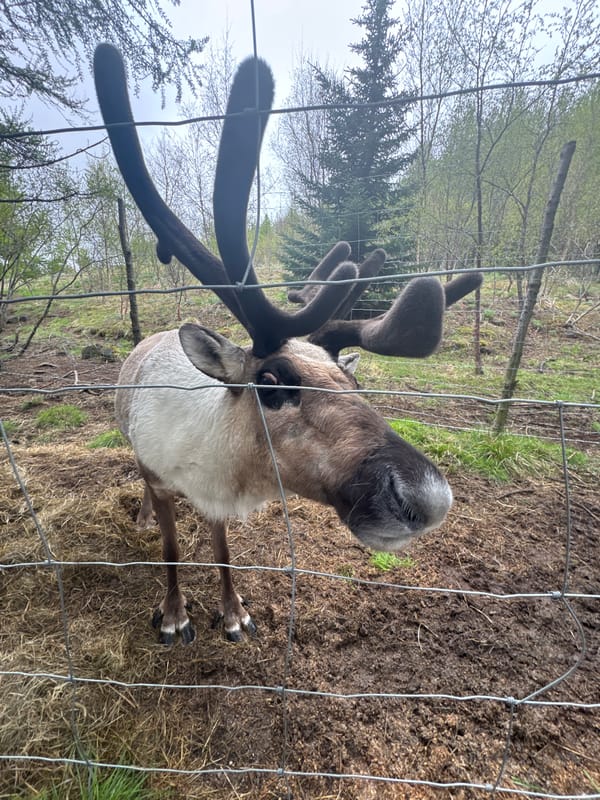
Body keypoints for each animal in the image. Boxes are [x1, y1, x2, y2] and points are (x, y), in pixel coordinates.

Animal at [93, 44, 482, 646]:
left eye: (352, 378)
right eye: (271, 382)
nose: (428, 498)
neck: (219, 462)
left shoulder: (217, 500)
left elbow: (223, 552)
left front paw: (233, 612)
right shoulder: (161, 476)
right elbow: (172, 548)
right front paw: (175, 614)